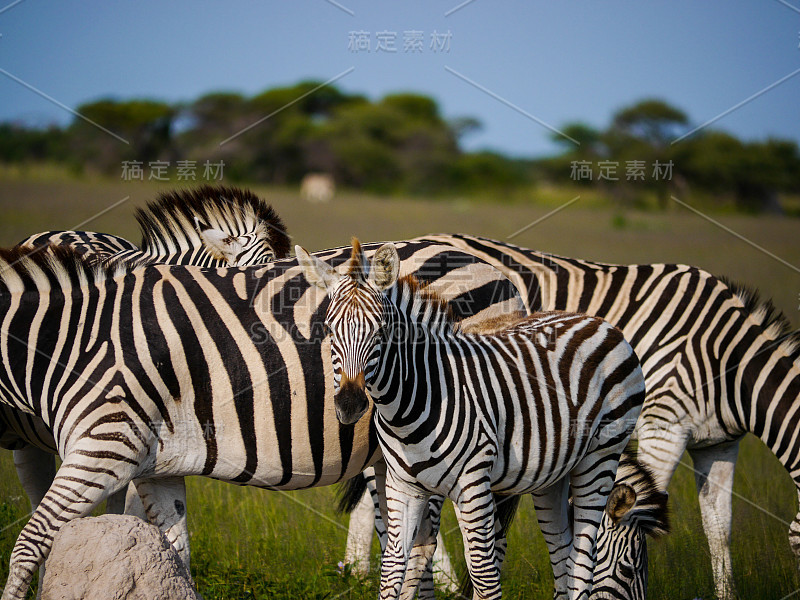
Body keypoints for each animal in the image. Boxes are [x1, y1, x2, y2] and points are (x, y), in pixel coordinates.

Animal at [0, 238, 520, 600]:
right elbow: (171, 557)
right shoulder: (153, 465)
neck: (70, 340)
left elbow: (29, 543)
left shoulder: (104, 448)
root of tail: (498, 273)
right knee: (418, 542)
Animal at [296, 239, 648, 600]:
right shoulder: (403, 487)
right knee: (563, 551)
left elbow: (483, 575)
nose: (350, 405)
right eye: (328, 329)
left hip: (601, 456)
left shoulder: (474, 484)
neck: (409, 405)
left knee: (582, 559)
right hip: (553, 472)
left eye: (381, 330)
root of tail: (597, 321)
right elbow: (393, 571)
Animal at [416, 232, 800, 596]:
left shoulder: (717, 444)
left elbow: (719, 528)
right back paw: (446, 580)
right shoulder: (664, 424)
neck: (728, 361)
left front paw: (726, 594)